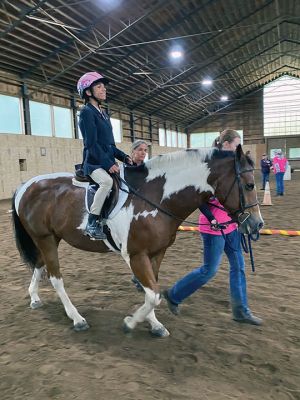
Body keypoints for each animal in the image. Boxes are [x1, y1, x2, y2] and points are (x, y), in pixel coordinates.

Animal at [11, 145, 262, 338]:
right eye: (249, 185)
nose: (257, 224)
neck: (155, 197)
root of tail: (26, 186)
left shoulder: (157, 252)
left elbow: (153, 291)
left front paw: (154, 324)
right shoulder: (135, 255)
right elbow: (152, 295)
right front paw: (131, 322)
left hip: (50, 238)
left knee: (39, 265)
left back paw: (34, 298)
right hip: (44, 238)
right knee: (55, 278)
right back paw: (77, 318)